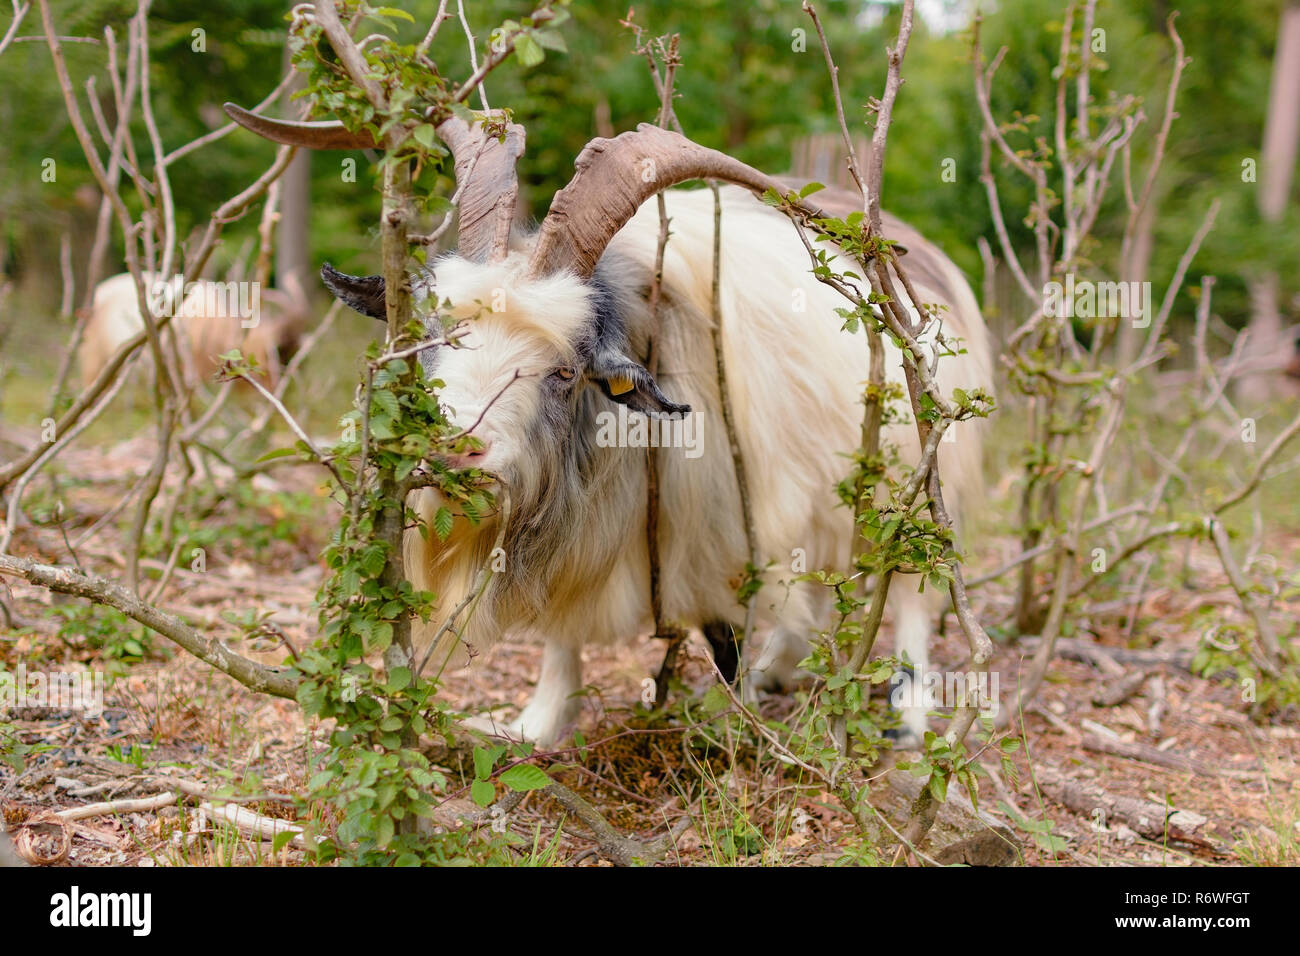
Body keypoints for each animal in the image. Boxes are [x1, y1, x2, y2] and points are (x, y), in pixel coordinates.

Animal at [227, 107, 994, 747]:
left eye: (566, 371)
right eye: (438, 339)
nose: (456, 452)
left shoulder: (731, 530)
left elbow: (731, 633)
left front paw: (732, 722)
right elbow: (564, 636)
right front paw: (538, 723)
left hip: (912, 482)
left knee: (911, 595)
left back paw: (908, 716)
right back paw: (783, 669)